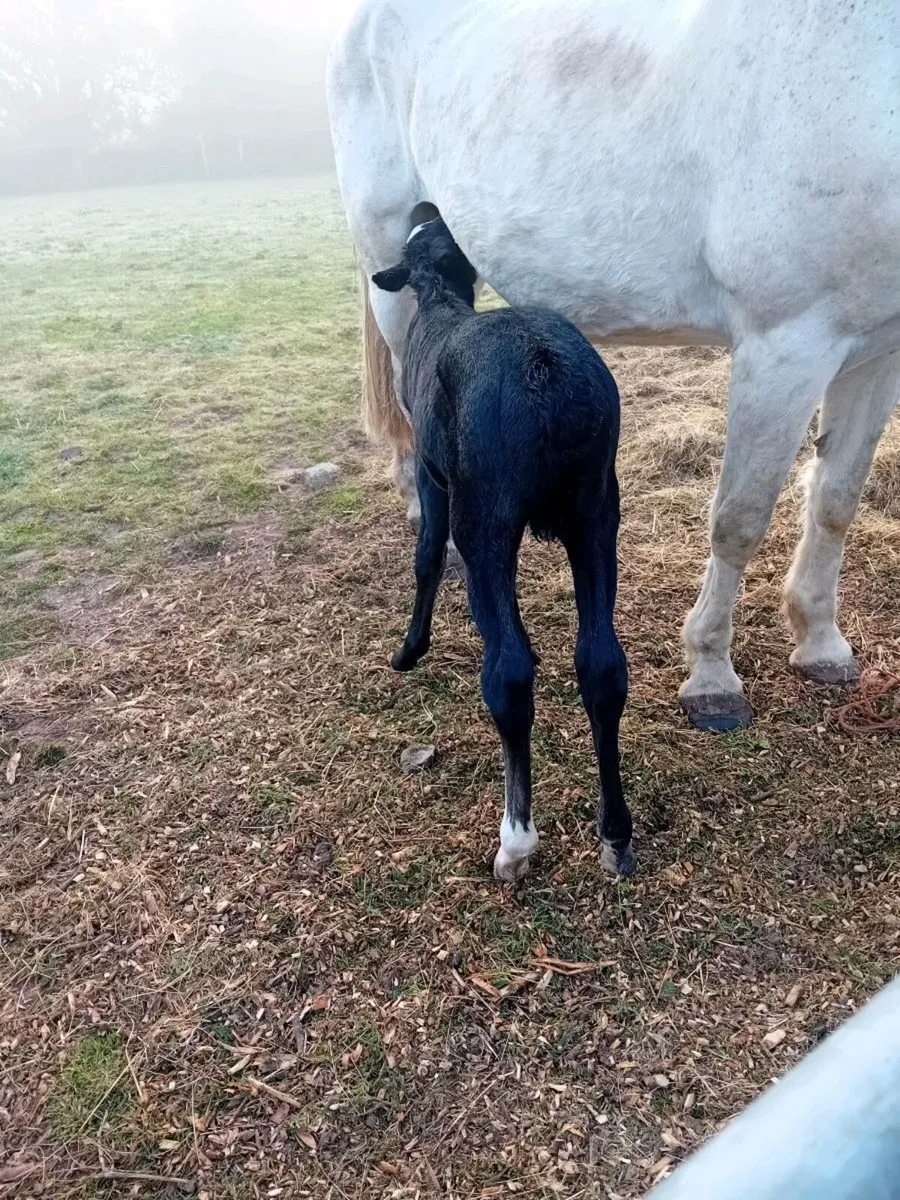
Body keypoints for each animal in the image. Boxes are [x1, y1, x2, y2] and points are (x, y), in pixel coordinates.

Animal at [326, 0, 900, 731]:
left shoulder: (876, 350)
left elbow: (835, 502)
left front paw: (822, 641)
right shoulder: (786, 346)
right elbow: (739, 519)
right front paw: (711, 675)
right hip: (386, 256)